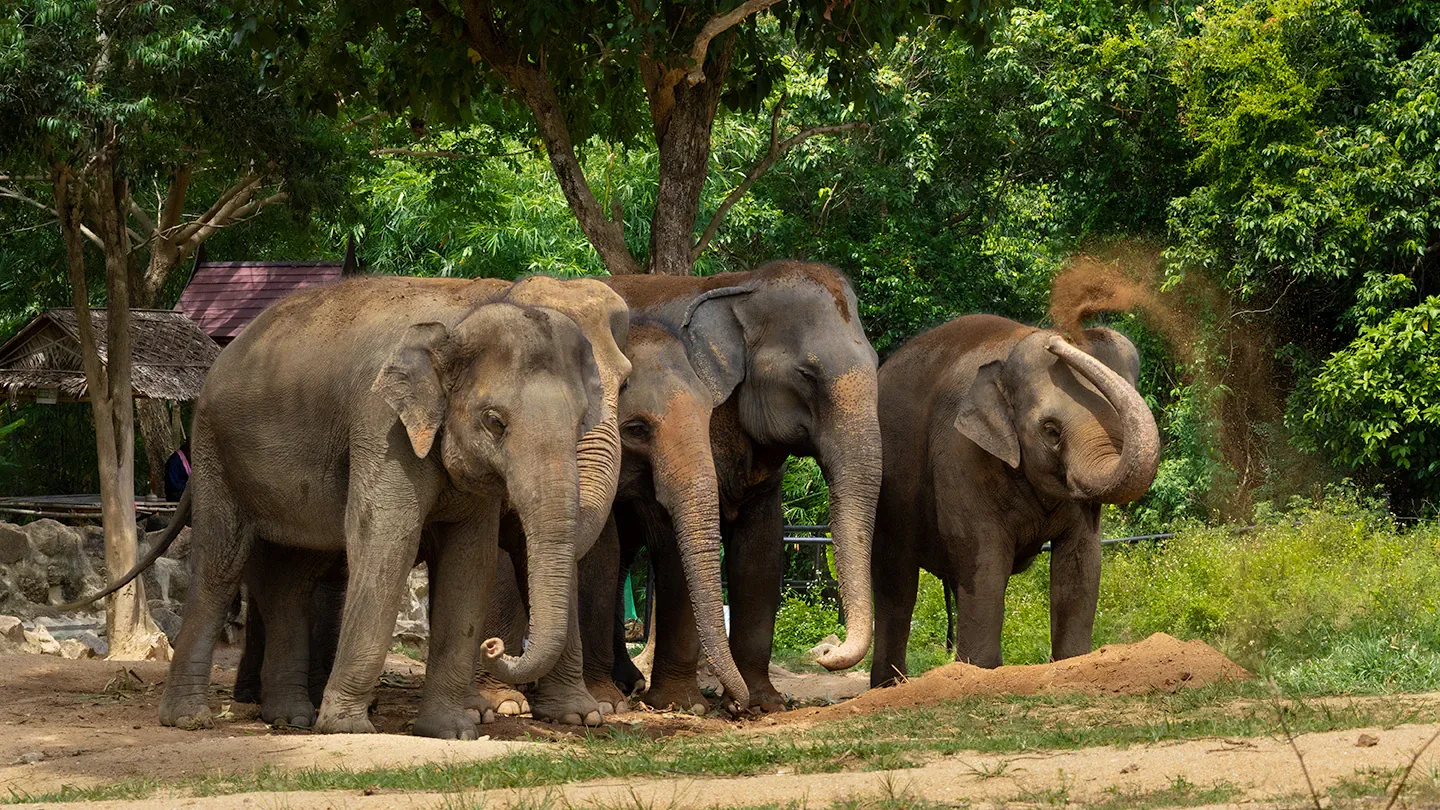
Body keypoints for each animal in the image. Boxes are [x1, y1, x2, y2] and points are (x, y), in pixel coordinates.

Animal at [76, 276, 616, 738]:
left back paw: (289, 717)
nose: (497, 646)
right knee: (220, 565)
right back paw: (192, 719)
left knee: (289, 579)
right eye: (494, 421)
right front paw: (348, 727)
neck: (456, 320)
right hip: (215, 453)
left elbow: (471, 561)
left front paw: (453, 731)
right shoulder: (379, 422)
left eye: (578, 423)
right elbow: (385, 539)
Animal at [869, 315, 1161, 688]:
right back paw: (889, 687)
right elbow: (983, 555)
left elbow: (1081, 561)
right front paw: (978, 673)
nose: (1058, 339)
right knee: (897, 584)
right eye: (1050, 431)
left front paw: (1072, 663)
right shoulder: (960, 451)